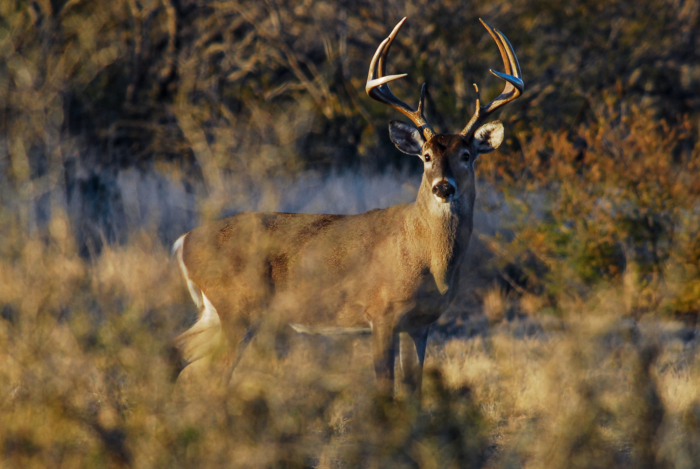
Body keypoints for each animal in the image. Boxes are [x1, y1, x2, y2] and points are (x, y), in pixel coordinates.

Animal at [171, 17, 523, 399]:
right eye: (427, 156)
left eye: (467, 155)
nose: (443, 187)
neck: (428, 260)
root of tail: (184, 241)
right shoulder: (381, 313)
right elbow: (385, 387)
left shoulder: (420, 323)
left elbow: (413, 391)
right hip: (238, 309)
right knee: (215, 376)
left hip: (216, 312)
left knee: (174, 351)